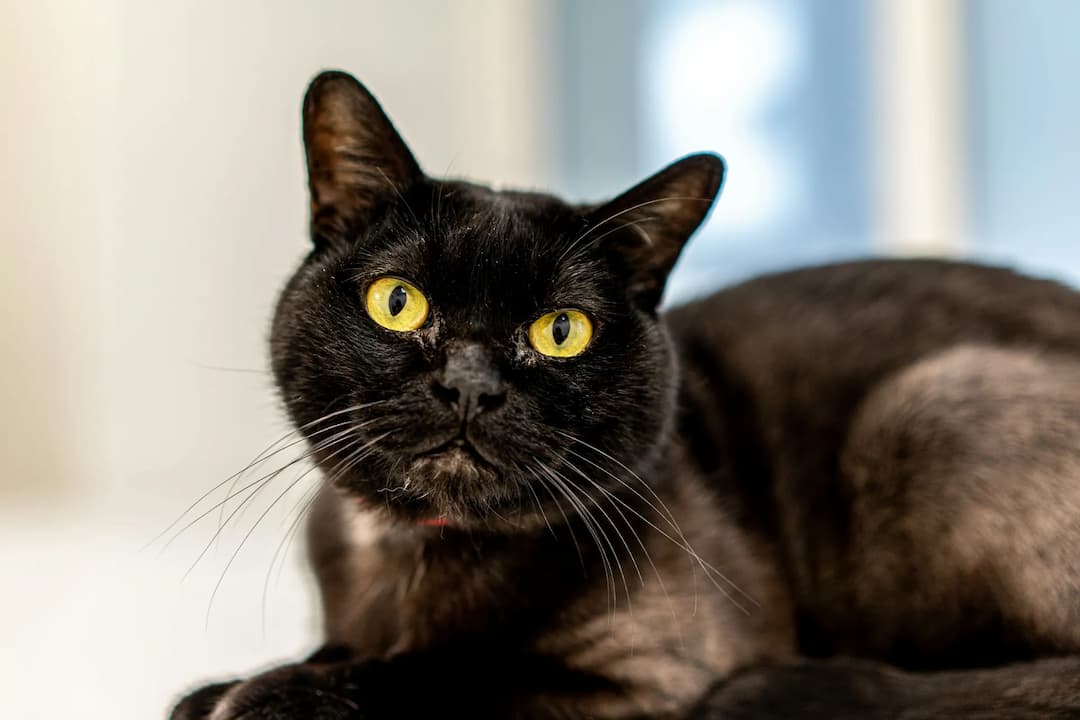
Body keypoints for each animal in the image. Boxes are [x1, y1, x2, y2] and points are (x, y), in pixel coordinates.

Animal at [172, 69, 1080, 720]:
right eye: (398, 303)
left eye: (561, 331)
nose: (470, 383)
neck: (406, 559)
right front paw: (224, 686)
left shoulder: (649, 678)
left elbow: (451, 676)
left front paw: (268, 696)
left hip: (931, 402)